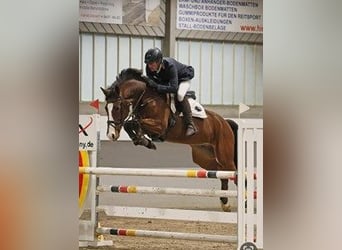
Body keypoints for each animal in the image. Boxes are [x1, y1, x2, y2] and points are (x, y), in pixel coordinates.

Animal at [100, 68, 236, 211]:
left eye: (117, 108)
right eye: (106, 108)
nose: (111, 135)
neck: (147, 98)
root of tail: (224, 122)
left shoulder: (160, 126)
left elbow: (132, 122)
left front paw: (143, 140)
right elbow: (131, 124)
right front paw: (143, 141)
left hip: (225, 155)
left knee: (233, 173)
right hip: (204, 157)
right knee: (222, 174)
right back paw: (225, 203)